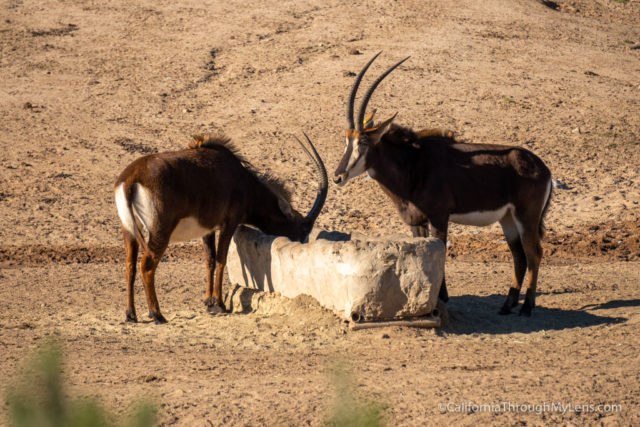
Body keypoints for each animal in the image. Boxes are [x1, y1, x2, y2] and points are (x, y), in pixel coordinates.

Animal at [113, 134, 330, 324]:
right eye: (302, 227)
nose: (300, 244)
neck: (243, 181)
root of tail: (131, 179)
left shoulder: (207, 229)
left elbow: (209, 259)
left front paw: (208, 301)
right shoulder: (229, 223)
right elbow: (221, 259)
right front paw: (219, 304)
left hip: (129, 230)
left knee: (130, 265)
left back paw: (131, 315)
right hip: (160, 232)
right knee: (146, 266)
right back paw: (157, 315)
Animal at [336, 51, 552, 316]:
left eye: (364, 142)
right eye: (346, 140)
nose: (338, 176)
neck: (413, 163)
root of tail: (543, 168)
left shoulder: (439, 217)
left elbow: (440, 253)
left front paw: (442, 299)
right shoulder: (416, 221)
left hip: (526, 217)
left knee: (534, 253)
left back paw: (527, 307)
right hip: (508, 218)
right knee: (519, 256)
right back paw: (507, 305)